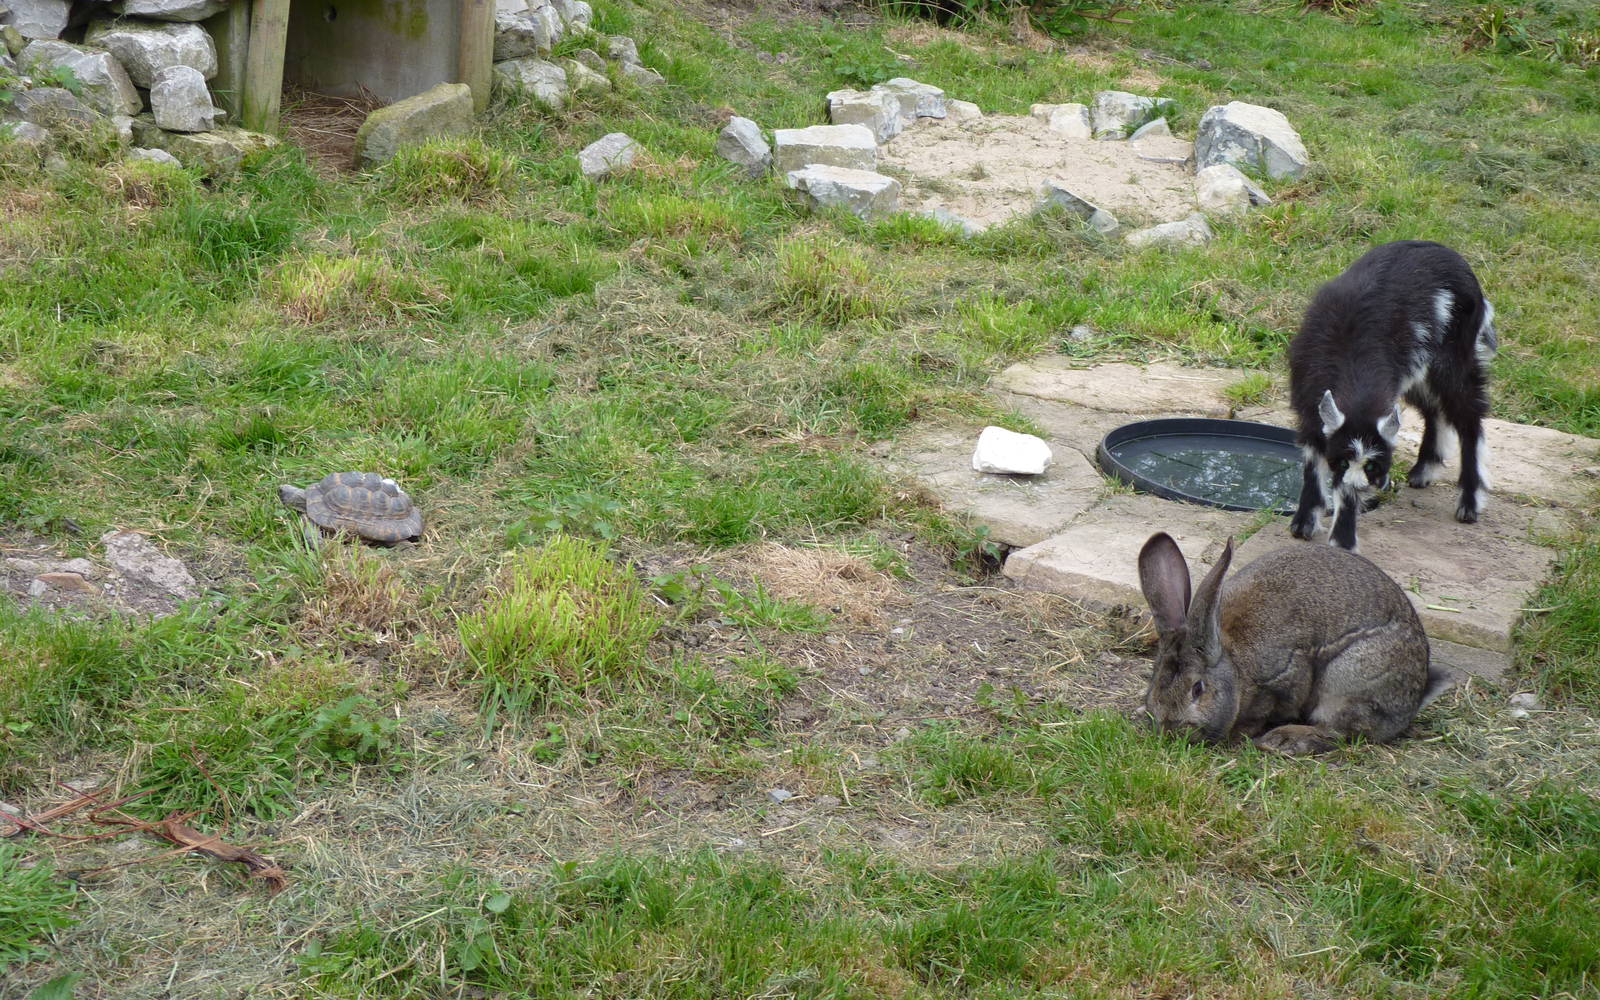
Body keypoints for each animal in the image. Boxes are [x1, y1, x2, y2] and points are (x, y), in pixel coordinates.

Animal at [1136, 531, 1454, 754]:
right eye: (1154, 681)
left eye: (1198, 689)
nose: (1170, 730)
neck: (1235, 665)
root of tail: (1414, 700)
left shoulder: (1283, 680)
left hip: (1349, 681)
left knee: (1342, 733)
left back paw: (1282, 741)